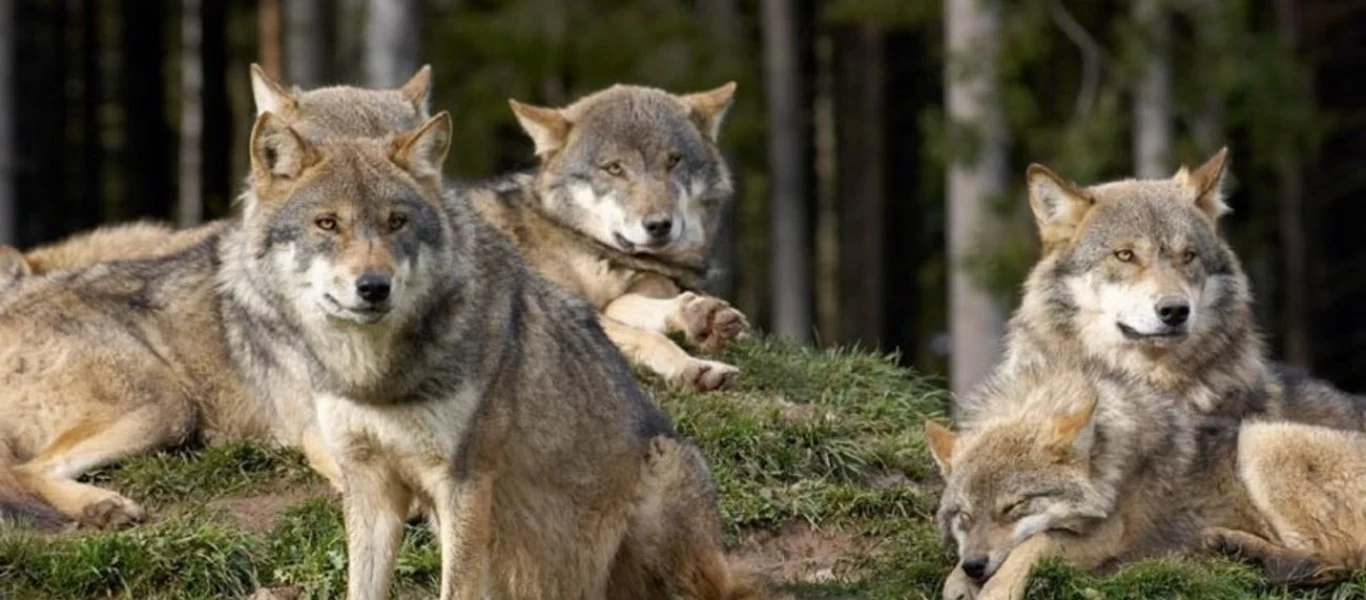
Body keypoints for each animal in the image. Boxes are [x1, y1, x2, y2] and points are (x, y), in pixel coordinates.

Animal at [464, 83, 754, 393]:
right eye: (614, 168)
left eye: (674, 161)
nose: (659, 225)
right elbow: (648, 335)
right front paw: (693, 366)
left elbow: (628, 305)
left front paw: (702, 320)